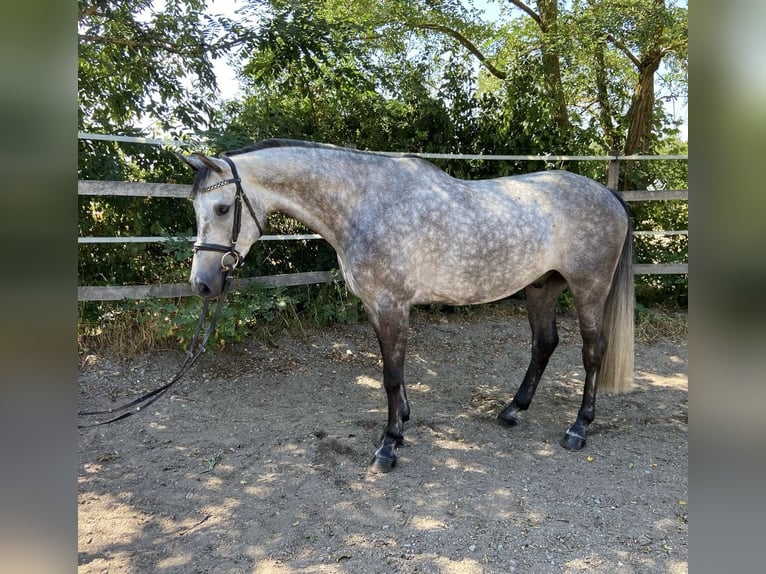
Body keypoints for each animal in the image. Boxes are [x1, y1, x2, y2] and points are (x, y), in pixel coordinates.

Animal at [178, 139, 634, 473]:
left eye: (222, 208)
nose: (202, 284)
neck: (363, 204)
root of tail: (608, 194)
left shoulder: (391, 304)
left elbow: (391, 375)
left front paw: (389, 445)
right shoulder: (377, 307)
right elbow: (393, 369)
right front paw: (403, 421)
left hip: (588, 288)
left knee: (592, 351)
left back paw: (578, 429)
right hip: (542, 287)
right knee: (544, 343)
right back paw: (512, 410)